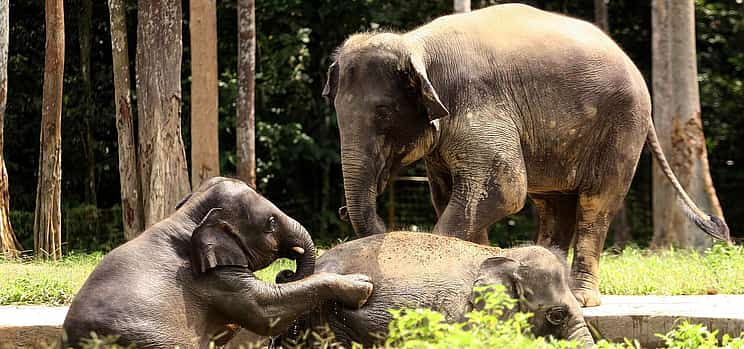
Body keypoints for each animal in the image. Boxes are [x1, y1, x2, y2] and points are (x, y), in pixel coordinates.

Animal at [60, 177, 372, 348]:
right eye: (271, 223)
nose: (284, 273)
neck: (186, 216)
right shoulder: (214, 278)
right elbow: (265, 311)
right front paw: (363, 285)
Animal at [324, 4, 728, 306]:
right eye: (336, 110)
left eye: (383, 114)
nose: (344, 211)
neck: (414, 43)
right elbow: (449, 196)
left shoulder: (479, 107)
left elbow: (503, 189)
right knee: (553, 205)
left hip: (622, 128)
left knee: (596, 204)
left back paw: (582, 298)